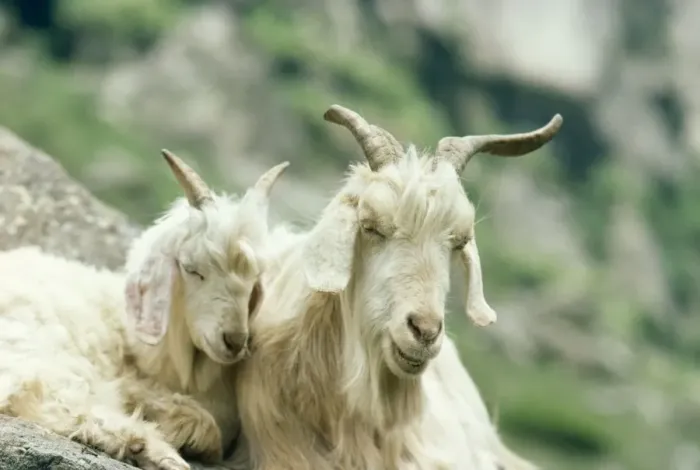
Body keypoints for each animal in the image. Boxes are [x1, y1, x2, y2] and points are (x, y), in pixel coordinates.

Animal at [0, 151, 288, 470]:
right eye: (191, 269)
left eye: (254, 278)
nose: (235, 340)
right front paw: (188, 429)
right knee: (62, 402)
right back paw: (155, 451)